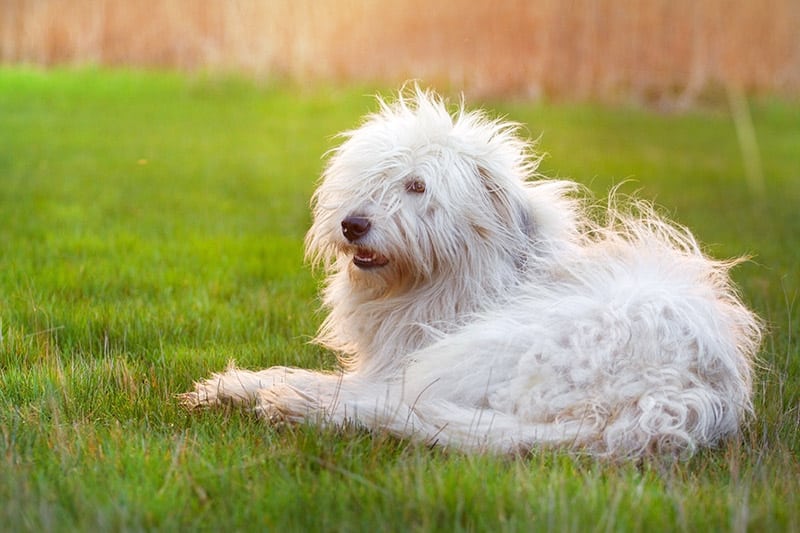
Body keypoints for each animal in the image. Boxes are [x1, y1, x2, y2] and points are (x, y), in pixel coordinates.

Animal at [183, 86, 764, 458]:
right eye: (368, 179)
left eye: (417, 186)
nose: (352, 224)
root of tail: (664, 402)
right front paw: (232, 383)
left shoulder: (407, 357)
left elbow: (330, 379)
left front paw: (258, 388)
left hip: (473, 353)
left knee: (388, 404)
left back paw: (298, 407)